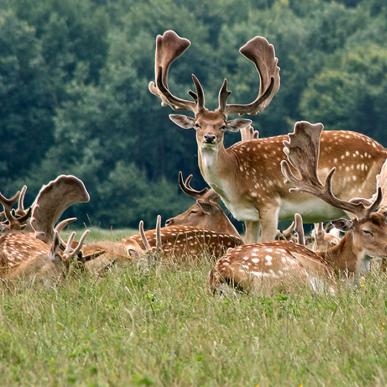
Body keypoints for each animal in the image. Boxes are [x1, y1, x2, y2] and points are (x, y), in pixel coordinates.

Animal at [149, 29, 387, 242]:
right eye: (197, 124)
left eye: (223, 126)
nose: (209, 137)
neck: (234, 177)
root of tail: (382, 150)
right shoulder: (248, 216)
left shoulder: (269, 203)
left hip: (362, 196)